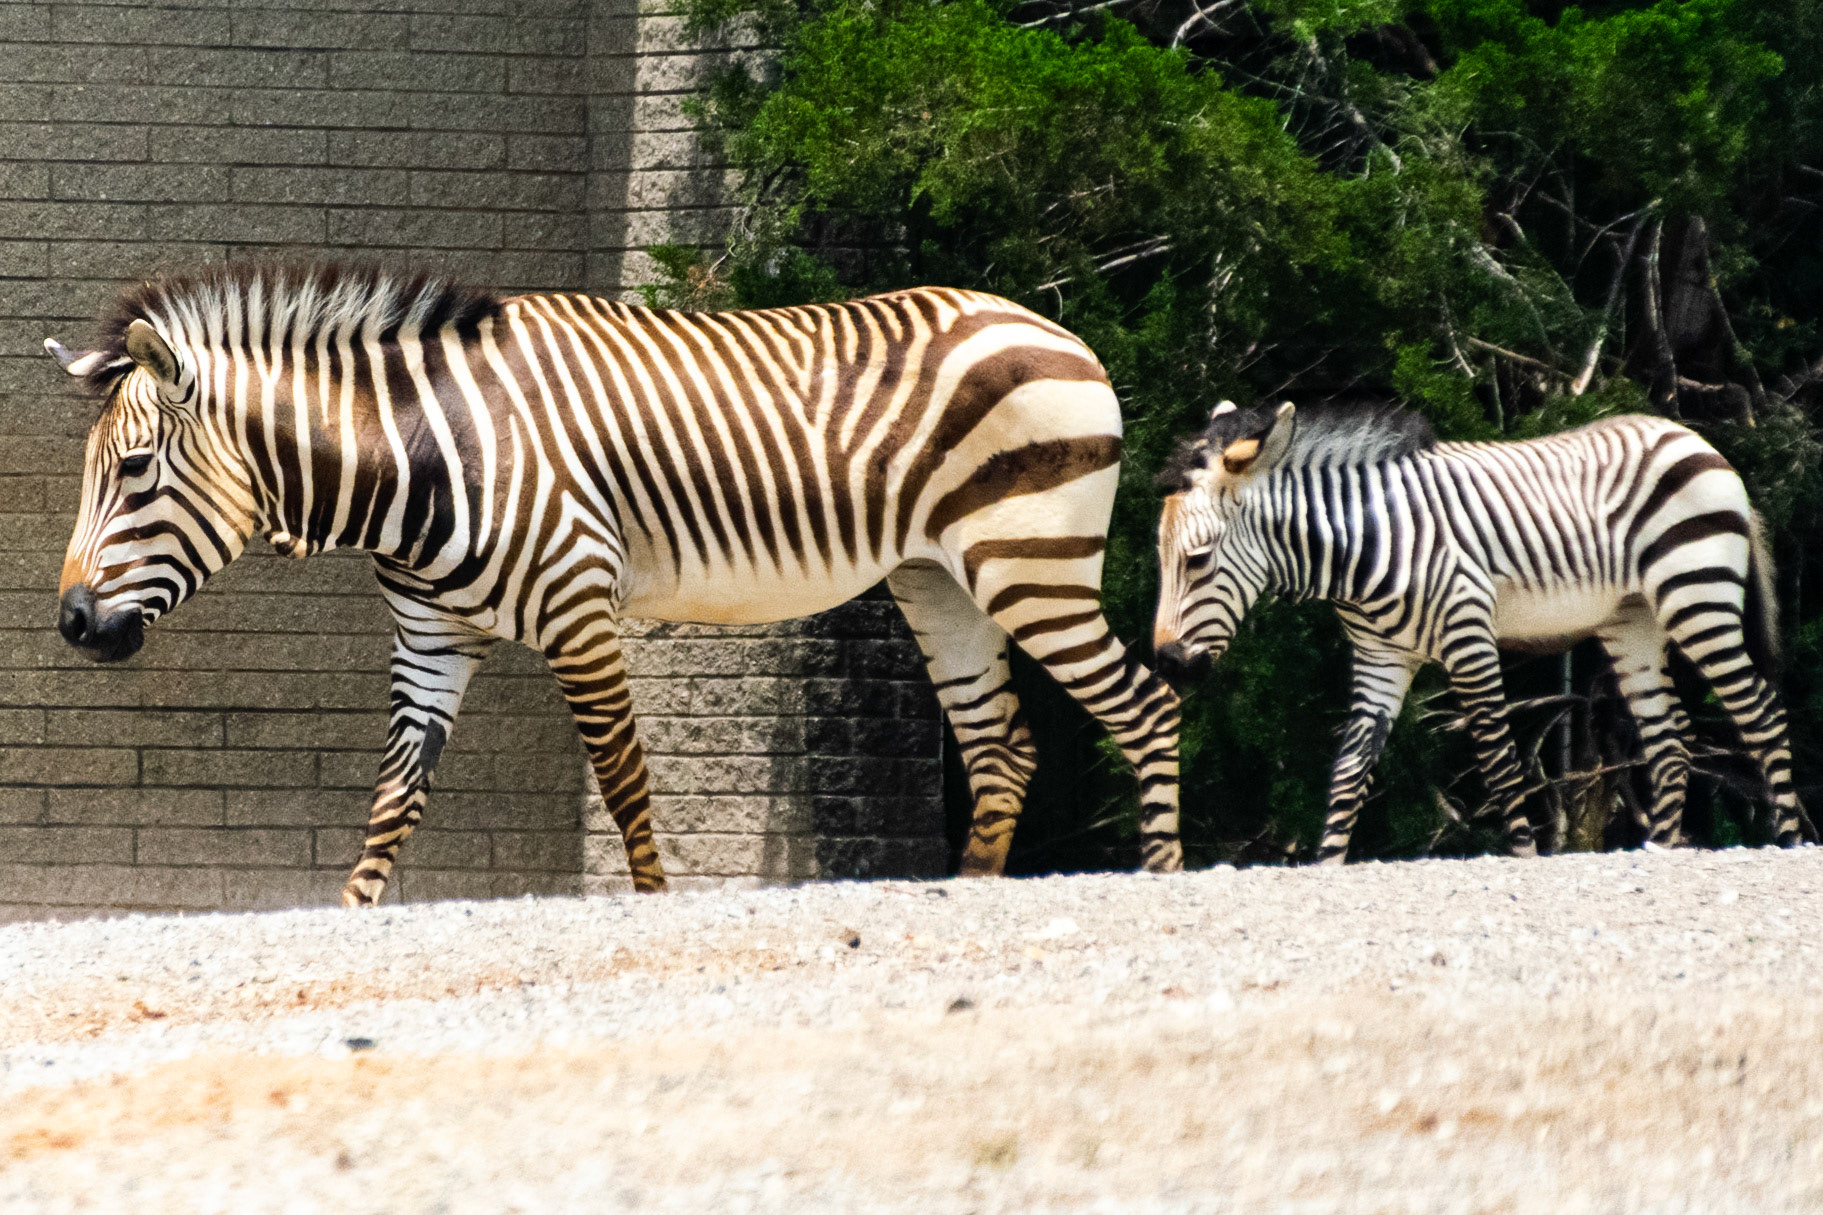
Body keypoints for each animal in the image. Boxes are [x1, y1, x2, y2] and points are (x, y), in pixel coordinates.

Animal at [47, 262, 1182, 905]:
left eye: (134, 470)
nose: (70, 624)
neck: (421, 454)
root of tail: (1057, 330)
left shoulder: (577, 611)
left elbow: (626, 779)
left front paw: (648, 901)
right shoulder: (429, 638)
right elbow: (394, 800)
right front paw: (352, 920)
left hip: (1028, 567)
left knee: (1147, 707)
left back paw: (1165, 880)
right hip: (936, 581)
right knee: (1002, 748)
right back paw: (972, 899)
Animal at [1152, 398, 1813, 860]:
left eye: (1197, 560)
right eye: (1162, 558)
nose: (1167, 665)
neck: (1359, 547)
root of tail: (1695, 439)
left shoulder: (1467, 635)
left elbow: (1497, 757)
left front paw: (1521, 855)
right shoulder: (1379, 659)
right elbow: (1348, 770)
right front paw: (1327, 864)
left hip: (1697, 597)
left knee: (1759, 710)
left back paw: (1787, 840)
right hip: (1634, 623)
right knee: (1670, 736)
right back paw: (1660, 849)